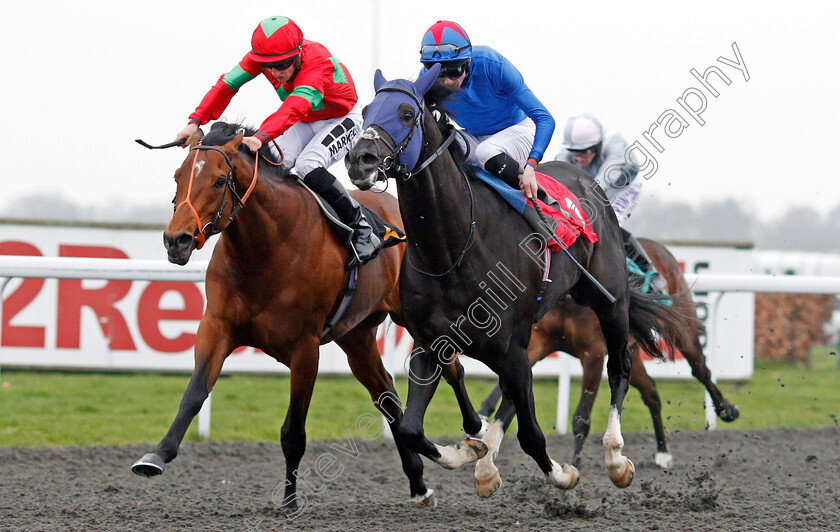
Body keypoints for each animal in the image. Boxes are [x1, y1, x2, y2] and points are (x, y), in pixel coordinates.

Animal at [131, 120, 440, 512]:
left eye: (219, 180)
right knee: (385, 392)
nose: (177, 241)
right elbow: (194, 393)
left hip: (418, 319)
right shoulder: (217, 327)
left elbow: (293, 430)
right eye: (178, 176)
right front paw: (156, 455)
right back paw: (418, 482)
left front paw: (290, 499)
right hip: (355, 336)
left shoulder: (305, 347)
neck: (266, 248)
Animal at [344, 64, 684, 496]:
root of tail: (587, 182)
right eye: (366, 111)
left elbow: (532, 436)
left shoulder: (514, 347)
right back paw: (486, 463)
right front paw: (471, 451)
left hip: (610, 302)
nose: (360, 159)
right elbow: (410, 429)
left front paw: (564, 473)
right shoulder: (431, 344)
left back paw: (616, 458)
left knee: (620, 365)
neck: (453, 250)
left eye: (406, 114)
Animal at [476, 238, 740, 470]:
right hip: (629, 350)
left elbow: (581, 417)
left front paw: (576, 463)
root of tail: (661, 249)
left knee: (701, 370)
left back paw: (726, 409)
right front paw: (485, 415)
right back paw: (663, 452)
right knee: (651, 393)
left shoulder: (592, 353)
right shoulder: (538, 344)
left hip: (682, 327)